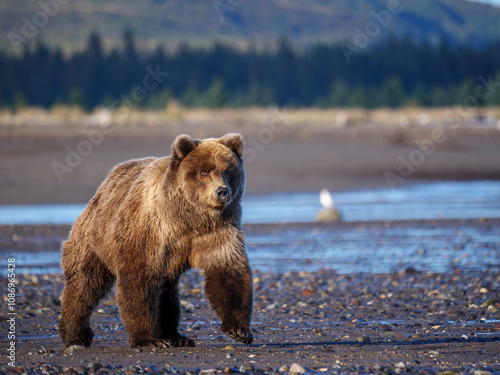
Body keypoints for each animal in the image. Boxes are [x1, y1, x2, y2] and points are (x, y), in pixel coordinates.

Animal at [59, 134, 254, 348]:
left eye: (228, 170)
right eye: (203, 171)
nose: (222, 191)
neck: (187, 220)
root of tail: (103, 186)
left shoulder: (217, 231)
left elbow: (228, 271)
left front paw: (238, 330)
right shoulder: (149, 232)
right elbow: (138, 279)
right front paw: (147, 340)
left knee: (165, 293)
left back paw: (175, 336)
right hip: (94, 238)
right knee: (85, 283)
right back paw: (76, 334)